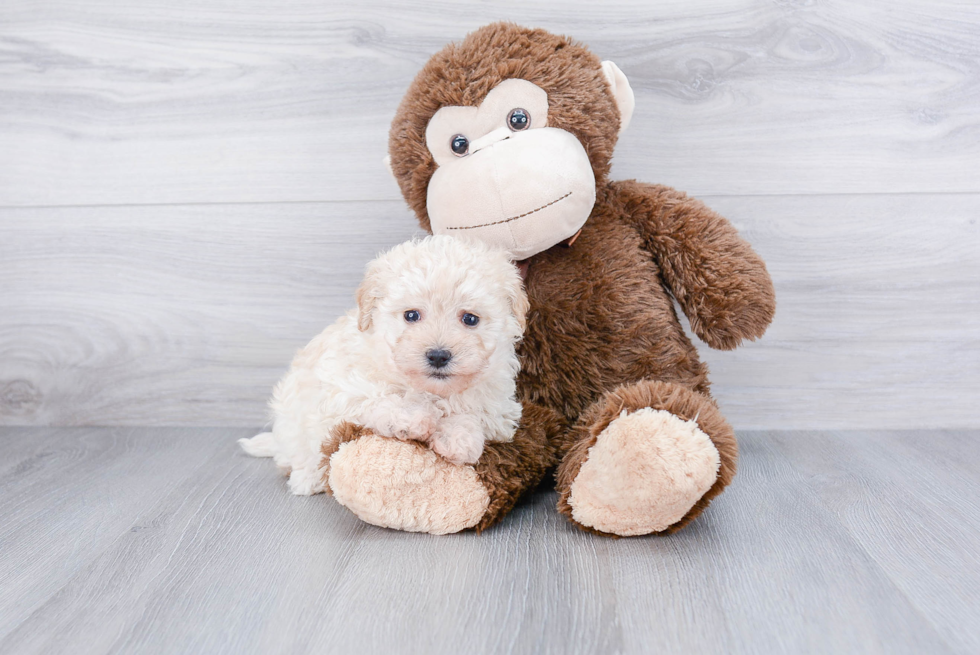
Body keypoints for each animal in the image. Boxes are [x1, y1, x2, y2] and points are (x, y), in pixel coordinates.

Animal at [238, 236, 528, 498]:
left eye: (470, 319)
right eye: (411, 315)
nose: (438, 356)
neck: (430, 390)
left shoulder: (499, 410)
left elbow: (473, 414)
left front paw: (457, 439)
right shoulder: (343, 390)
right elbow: (380, 399)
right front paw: (414, 418)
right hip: (294, 421)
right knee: (299, 455)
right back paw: (308, 479)